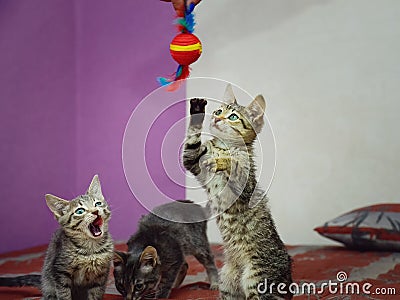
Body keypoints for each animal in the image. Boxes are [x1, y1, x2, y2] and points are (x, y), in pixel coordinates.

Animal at [183, 85, 292, 300]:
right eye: (218, 111)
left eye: (233, 117)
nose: (217, 118)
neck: (222, 146)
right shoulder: (193, 162)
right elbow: (191, 142)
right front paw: (197, 111)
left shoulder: (245, 187)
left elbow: (236, 167)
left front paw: (224, 161)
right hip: (227, 282)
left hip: (257, 278)